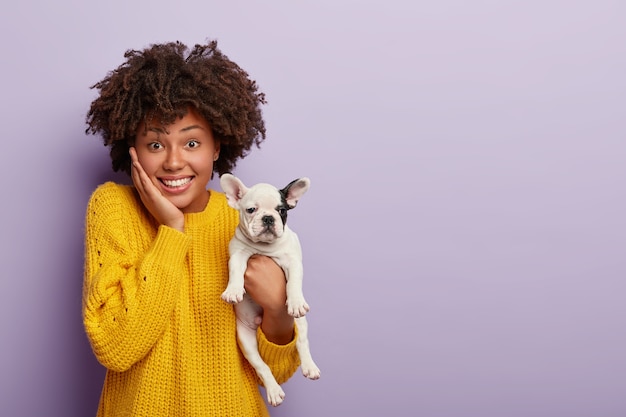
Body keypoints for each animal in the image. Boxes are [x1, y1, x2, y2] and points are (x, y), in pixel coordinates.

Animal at [219, 172, 320, 406]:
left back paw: (309, 366)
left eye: (281, 210)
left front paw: (295, 301)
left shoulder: (293, 261)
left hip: (300, 323)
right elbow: (236, 270)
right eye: (251, 210)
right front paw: (233, 290)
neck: (264, 248)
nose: (268, 218)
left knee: (301, 342)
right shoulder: (238, 254)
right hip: (245, 339)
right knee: (262, 366)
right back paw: (274, 391)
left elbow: (293, 283)